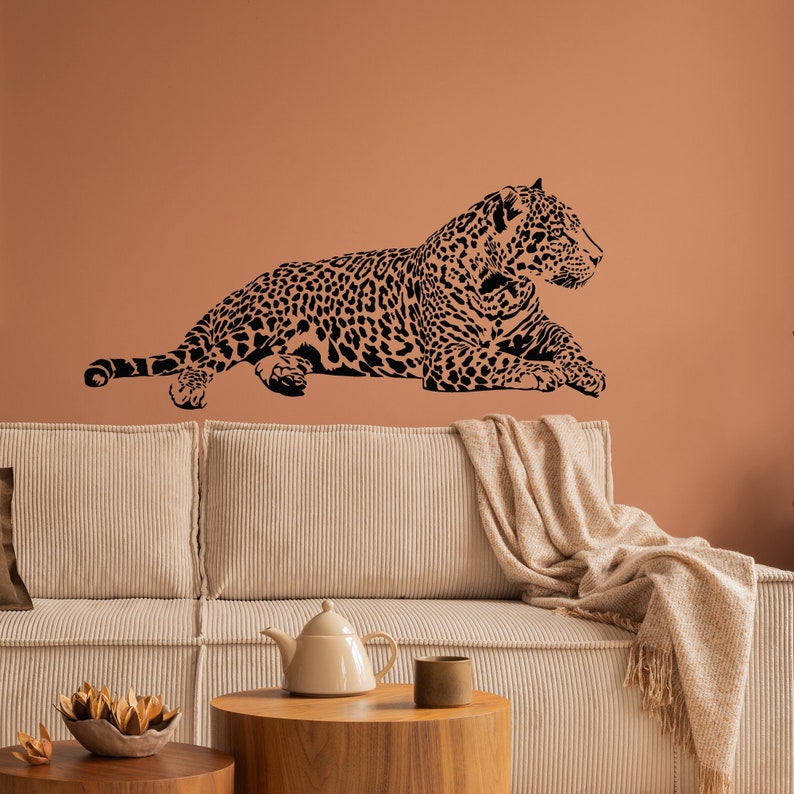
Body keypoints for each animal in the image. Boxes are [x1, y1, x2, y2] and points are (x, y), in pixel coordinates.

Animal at [84, 179, 605, 408]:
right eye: (561, 233)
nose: (602, 256)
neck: (503, 285)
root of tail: (250, 281)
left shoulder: (535, 327)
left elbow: (567, 338)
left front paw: (587, 372)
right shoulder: (447, 354)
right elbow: (496, 358)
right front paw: (541, 372)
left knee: (262, 361)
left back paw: (288, 377)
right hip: (259, 322)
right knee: (208, 358)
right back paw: (188, 388)